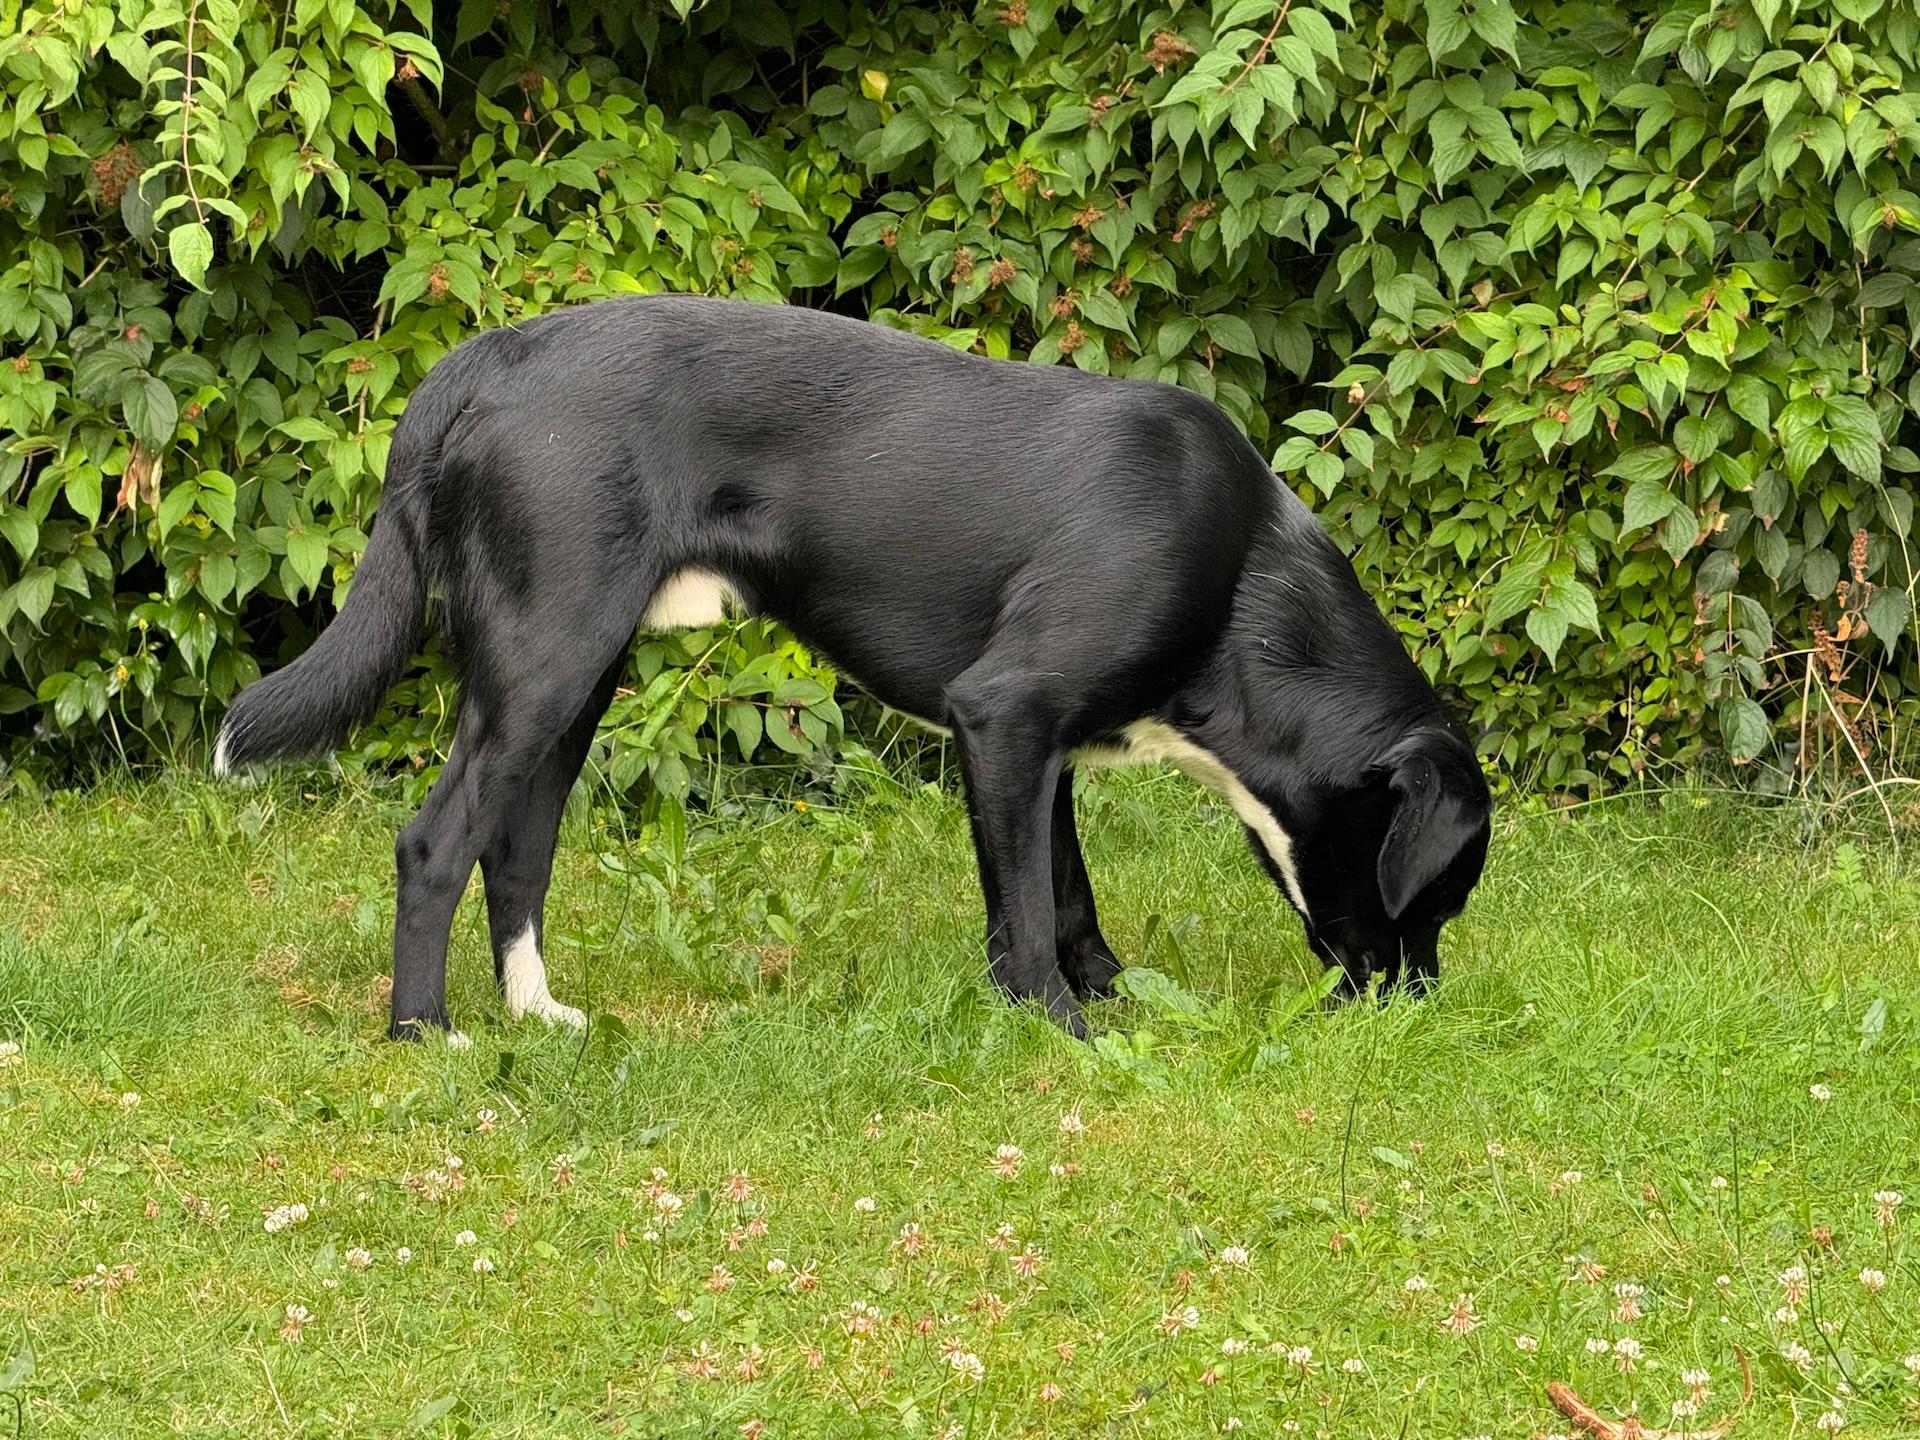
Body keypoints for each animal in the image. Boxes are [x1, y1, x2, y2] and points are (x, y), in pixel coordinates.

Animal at [217, 295, 1489, 1036]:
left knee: (516, 851)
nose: (1418, 1017)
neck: (1242, 580)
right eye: (1435, 899)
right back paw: (424, 1032)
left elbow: (1069, 897)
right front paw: (1061, 1033)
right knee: (437, 846)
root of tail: (490, 355)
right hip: (545, 658)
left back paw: (537, 1013)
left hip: (572, 679)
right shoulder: (1004, 713)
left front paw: (1116, 1003)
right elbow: (1028, 916)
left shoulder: (1042, 747)